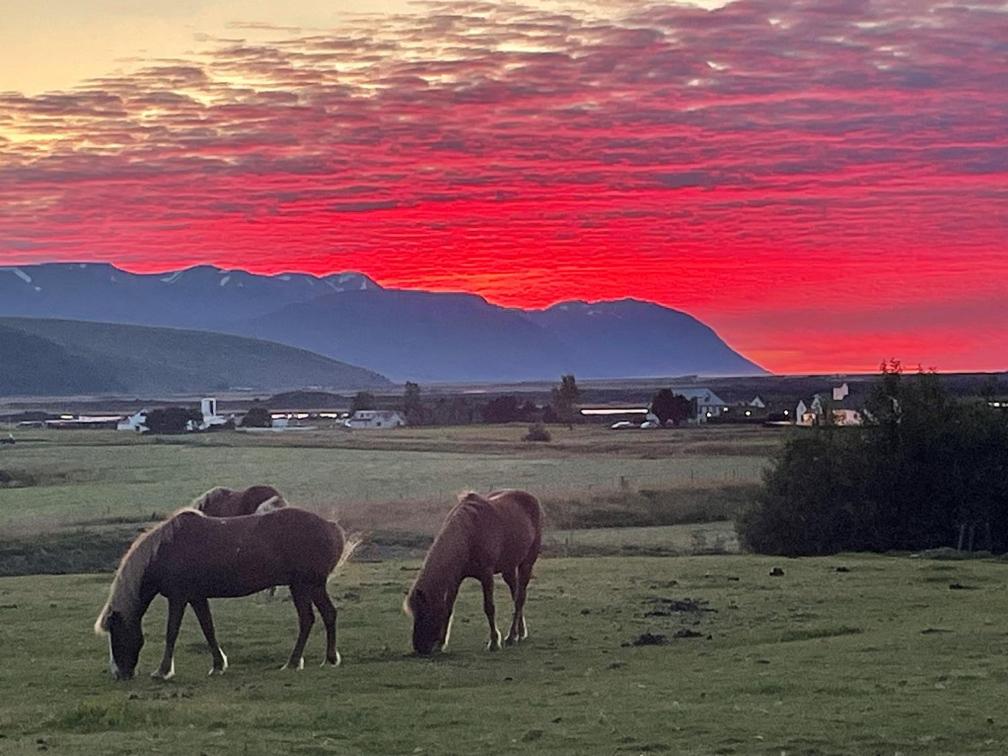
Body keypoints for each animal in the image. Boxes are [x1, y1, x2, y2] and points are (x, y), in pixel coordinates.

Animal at [94, 510, 354, 681]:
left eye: (116, 635)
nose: (120, 673)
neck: (164, 551)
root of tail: (331, 527)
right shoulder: (196, 597)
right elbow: (208, 629)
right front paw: (218, 665)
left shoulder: (178, 598)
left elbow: (171, 632)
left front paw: (163, 671)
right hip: (310, 586)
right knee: (327, 615)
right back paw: (330, 659)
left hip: (302, 586)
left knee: (307, 620)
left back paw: (292, 663)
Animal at [403, 491, 544, 657]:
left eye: (424, 614)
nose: (419, 648)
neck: (469, 535)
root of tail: (531, 498)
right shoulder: (455, 580)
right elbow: (448, 609)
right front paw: (441, 644)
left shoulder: (486, 575)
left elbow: (489, 607)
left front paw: (494, 642)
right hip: (508, 568)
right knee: (515, 595)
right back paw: (519, 633)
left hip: (526, 564)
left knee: (519, 598)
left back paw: (511, 636)